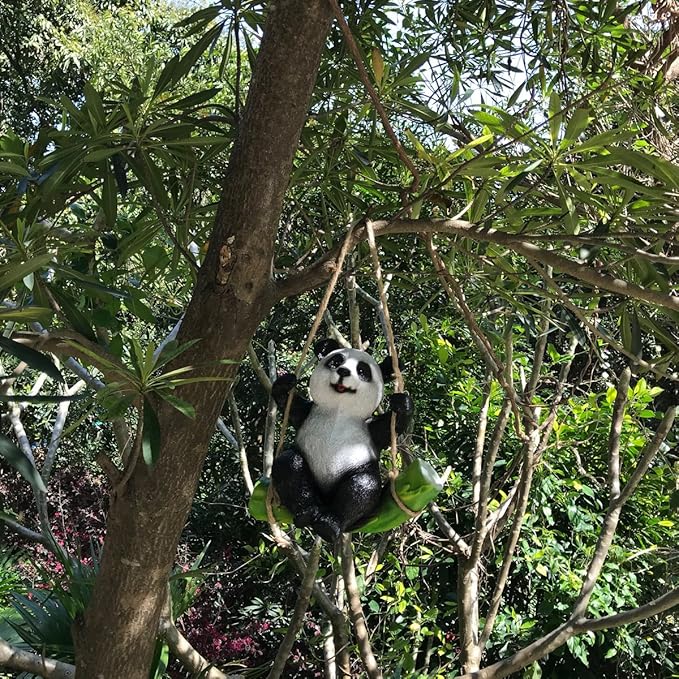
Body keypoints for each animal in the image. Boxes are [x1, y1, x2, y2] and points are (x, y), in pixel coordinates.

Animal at [271, 338, 414, 542]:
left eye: (362, 371)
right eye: (336, 361)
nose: (344, 372)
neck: (339, 412)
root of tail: (325, 503)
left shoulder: (368, 430)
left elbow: (389, 428)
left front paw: (402, 405)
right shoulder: (309, 414)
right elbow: (293, 409)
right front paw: (285, 383)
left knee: (363, 486)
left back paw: (329, 525)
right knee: (290, 464)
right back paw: (307, 512)